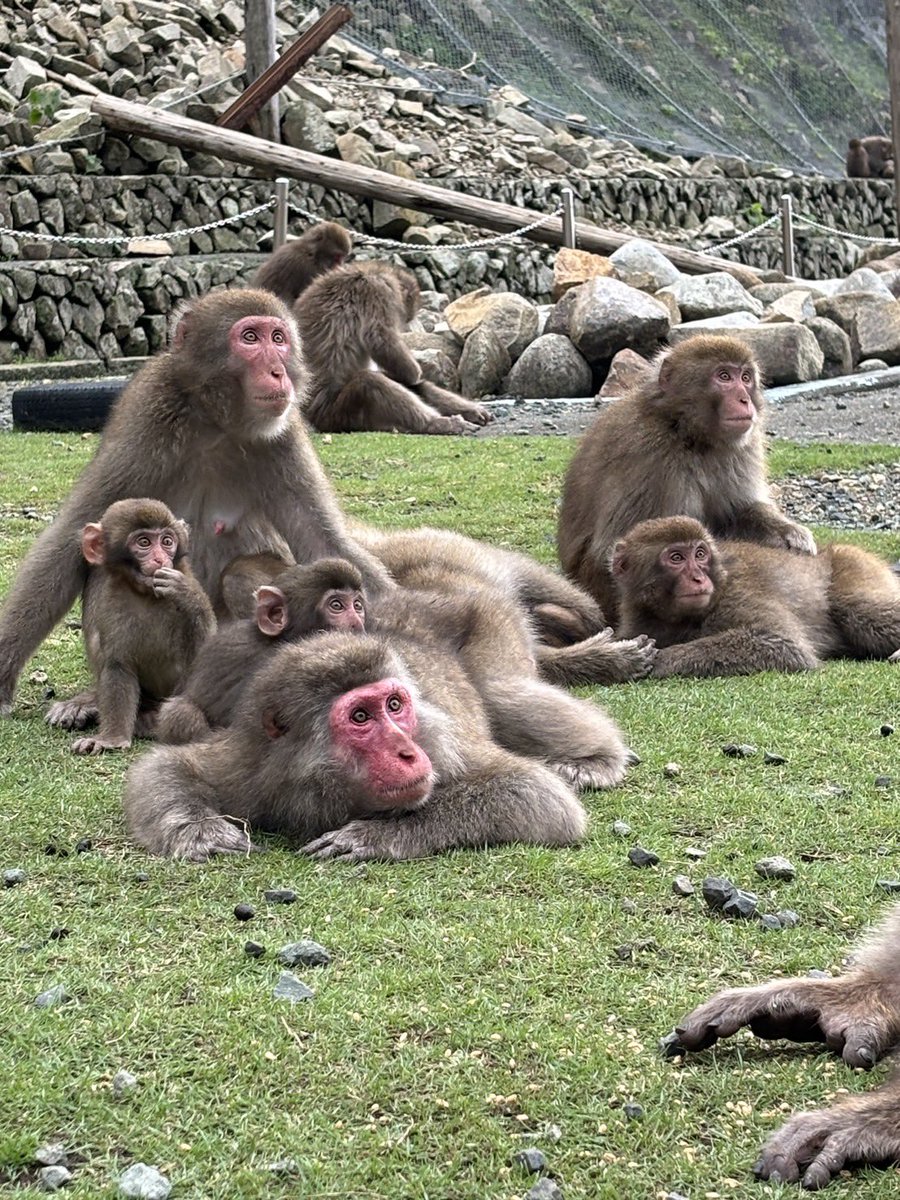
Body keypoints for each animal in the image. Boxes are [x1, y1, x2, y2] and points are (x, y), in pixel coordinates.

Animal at [0, 287, 394, 721]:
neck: (214, 420)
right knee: (103, 569)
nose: (279, 372)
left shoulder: (284, 435)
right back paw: (92, 701)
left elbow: (324, 542)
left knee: (241, 576)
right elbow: (77, 533)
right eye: (250, 338)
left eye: (278, 339)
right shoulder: (149, 413)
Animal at [68, 498, 215, 754]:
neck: (147, 594)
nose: (160, 559)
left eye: (167, 541)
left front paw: (186, 593)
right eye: (144, 542)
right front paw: (113, 739)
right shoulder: (110, 600)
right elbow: (118, 664)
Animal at [294, 261, 495, 435]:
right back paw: (436, 423)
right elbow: (380, 340)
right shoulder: (379, 289)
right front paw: (416, 373)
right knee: (370, 383)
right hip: (338, 414)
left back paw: (468, 412)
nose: (405, 325)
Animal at [557, 335, 816, 626]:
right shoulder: (649, 457)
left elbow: (739, 511)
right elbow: (613, 552)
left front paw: (792, 534)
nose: (744, 399)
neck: (686, 432)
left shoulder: (742, 448)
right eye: (724, 376)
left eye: (746, 377)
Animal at [610, 515, 900, 678]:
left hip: (855, 565)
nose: (698, 578)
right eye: (677, 558)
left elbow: (780, 641)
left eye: (700, 554)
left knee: (857, 609)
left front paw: (658, 660)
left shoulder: (735, 594)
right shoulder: (638, 619)